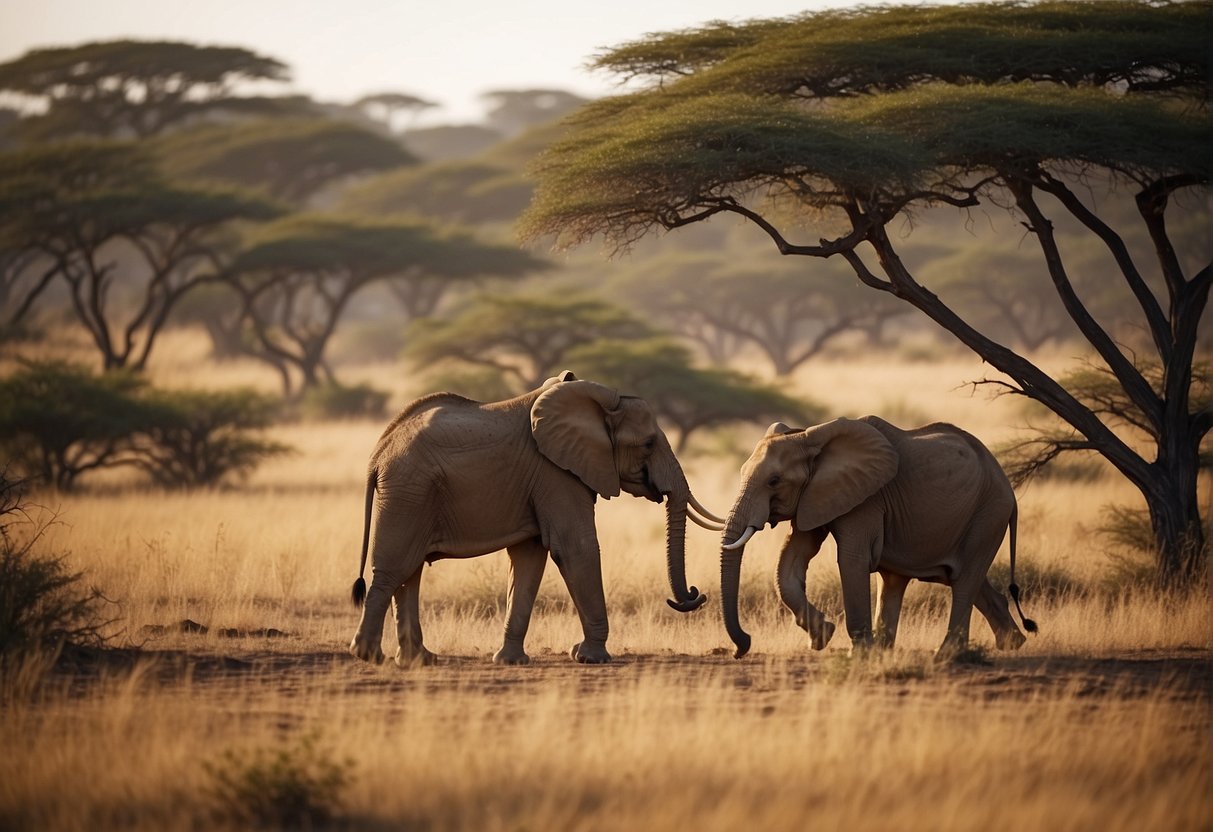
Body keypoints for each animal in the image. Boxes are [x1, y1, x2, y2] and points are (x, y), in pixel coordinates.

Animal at [346, 375, 718, 669]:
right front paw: (591, 658)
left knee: (410, 572)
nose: (694, 595)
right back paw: (369, 655)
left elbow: (529, 558)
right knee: (393, 570)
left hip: (412, 495)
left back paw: (420, 660)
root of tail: (378, 452)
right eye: (649, 443)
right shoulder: (556, 473)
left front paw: (511, 661)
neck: (598, 402)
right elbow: (575, 548)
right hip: (408, 493)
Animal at [713, 419, 1038, 659]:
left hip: (989, 514)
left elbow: (850, 560)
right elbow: (792, 560)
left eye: (774, 481)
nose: (741, 648)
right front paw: (823, 636)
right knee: (928, 578)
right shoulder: (815, 496)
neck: (809, 436)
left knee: (964, 580)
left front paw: (858, 654)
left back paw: (944, 655)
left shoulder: (866, 500)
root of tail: (1008, 487)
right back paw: (1012, 643)